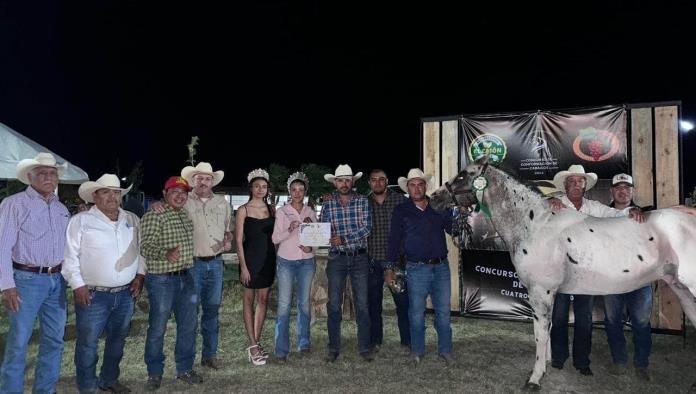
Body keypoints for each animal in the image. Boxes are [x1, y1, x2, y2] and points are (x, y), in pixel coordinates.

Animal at [430, 157, 696, 390]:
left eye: (463, 174)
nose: (434, 198)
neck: (534, 224)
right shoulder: (545, 292)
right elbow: (544, 330)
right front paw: (547, 364)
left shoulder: (541, 290)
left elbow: (539, 332)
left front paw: (535, 379)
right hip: (682, 289)